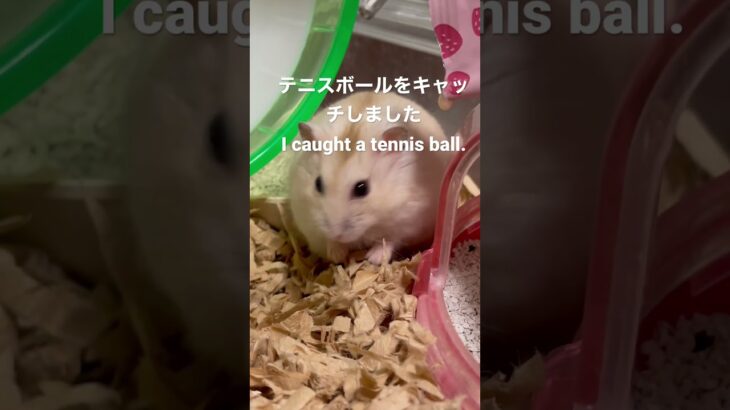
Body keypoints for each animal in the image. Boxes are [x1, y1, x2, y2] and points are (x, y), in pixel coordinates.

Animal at [289, 92, 454, 265]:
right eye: (318, 184)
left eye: (362, 188)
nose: (337, 234)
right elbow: (329, 241)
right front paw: (337, 255)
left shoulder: (410, 221)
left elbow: (391, 239)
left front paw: (373, 259)